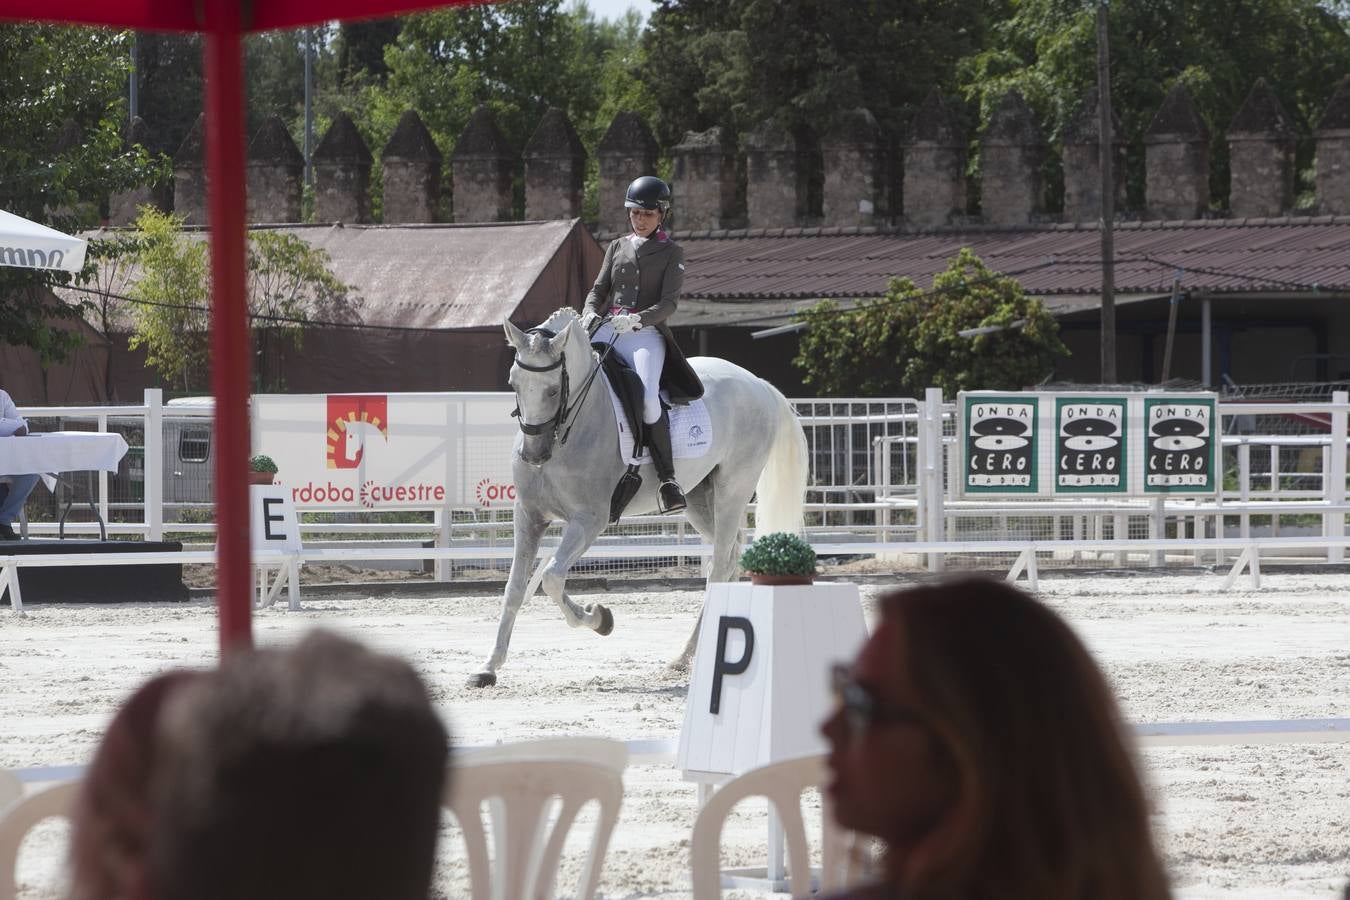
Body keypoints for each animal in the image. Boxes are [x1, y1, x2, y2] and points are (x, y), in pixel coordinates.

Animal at [469, 310, 804, 690]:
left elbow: (552, 577)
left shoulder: (590, 519)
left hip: (733, 489)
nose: (534, 455)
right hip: (700, 500)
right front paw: (488, 667)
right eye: (513, 384)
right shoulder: (528, 515)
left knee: (719, 566)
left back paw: (692, 656)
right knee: (731, 556)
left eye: (554, 389)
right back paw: (689, 655)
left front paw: (600, 619)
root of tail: (758, 383)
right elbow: (514, 588)